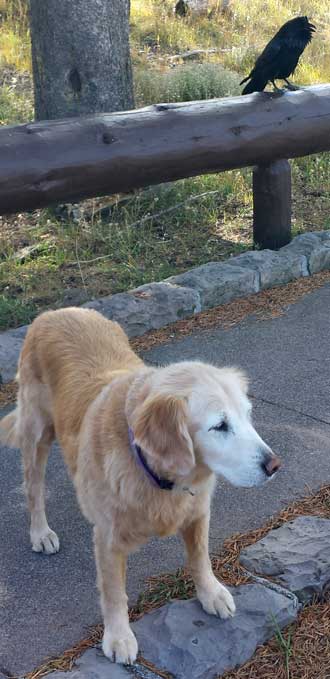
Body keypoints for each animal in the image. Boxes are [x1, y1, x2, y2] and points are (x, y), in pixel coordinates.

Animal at [0, 308, 282, 664]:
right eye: (219, 426)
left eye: (247, 415)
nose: (274, 465)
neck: (160, 478)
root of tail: (56, 311)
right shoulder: (108, 540)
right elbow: (114, 593)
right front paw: (119, 636)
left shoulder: (198, 513)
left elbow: (200, 557)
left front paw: (211, 592)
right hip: (36, 434)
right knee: (33, 489)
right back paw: (40, 532)